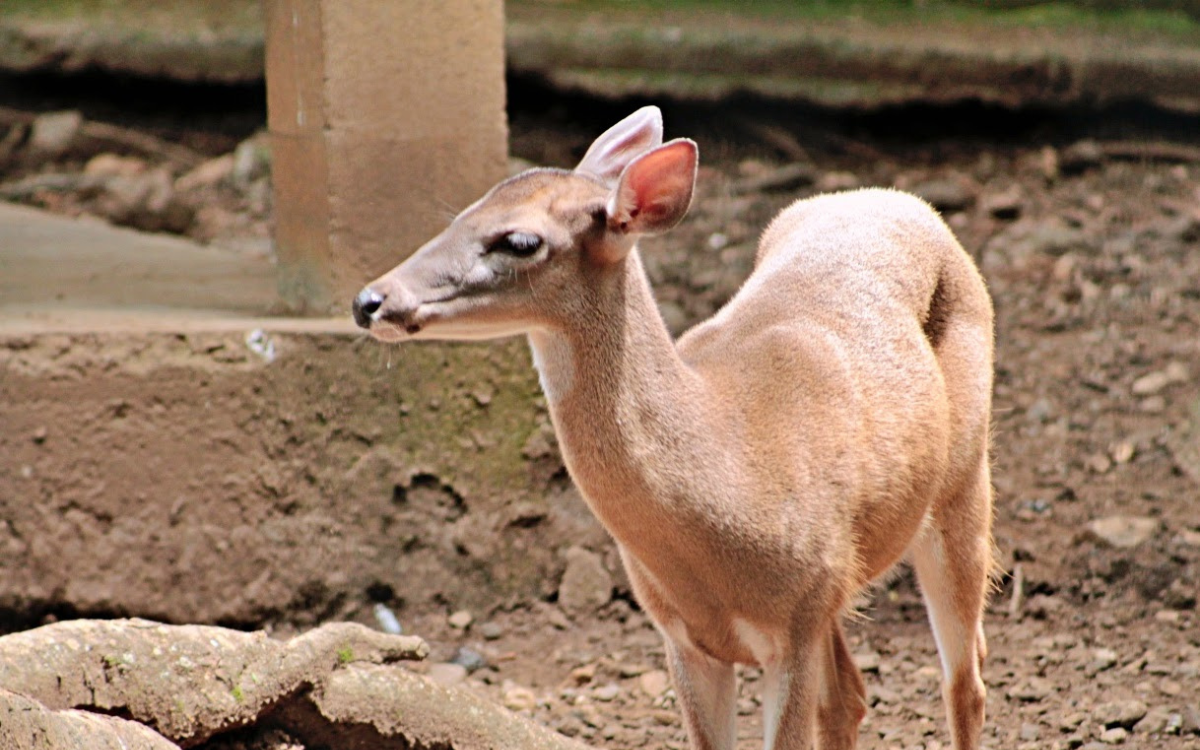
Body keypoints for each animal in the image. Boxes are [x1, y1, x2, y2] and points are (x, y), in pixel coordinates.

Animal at [350, 106, 993, 748]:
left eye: (520, 240)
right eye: (464, 212)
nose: (370, 300)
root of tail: (892, 196)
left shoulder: (794, 624)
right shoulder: (688, 635)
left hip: (962, 480)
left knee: (965, 681)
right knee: (851, 698)